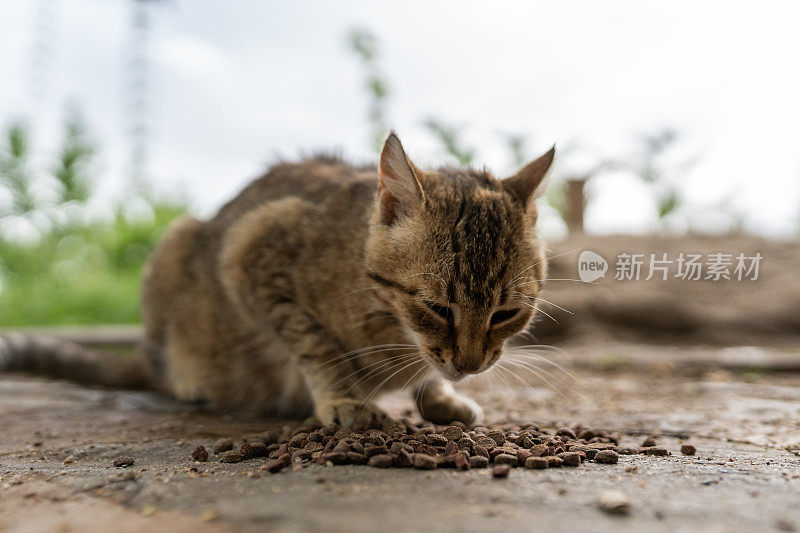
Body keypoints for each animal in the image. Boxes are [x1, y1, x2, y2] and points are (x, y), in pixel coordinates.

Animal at [0, 134, 552, 428]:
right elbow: (315, 346)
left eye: (506, 314)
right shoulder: (251, 252)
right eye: (437, 307)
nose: (469, 365)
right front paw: (343, 399)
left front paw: (440, 397)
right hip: (177, 242)